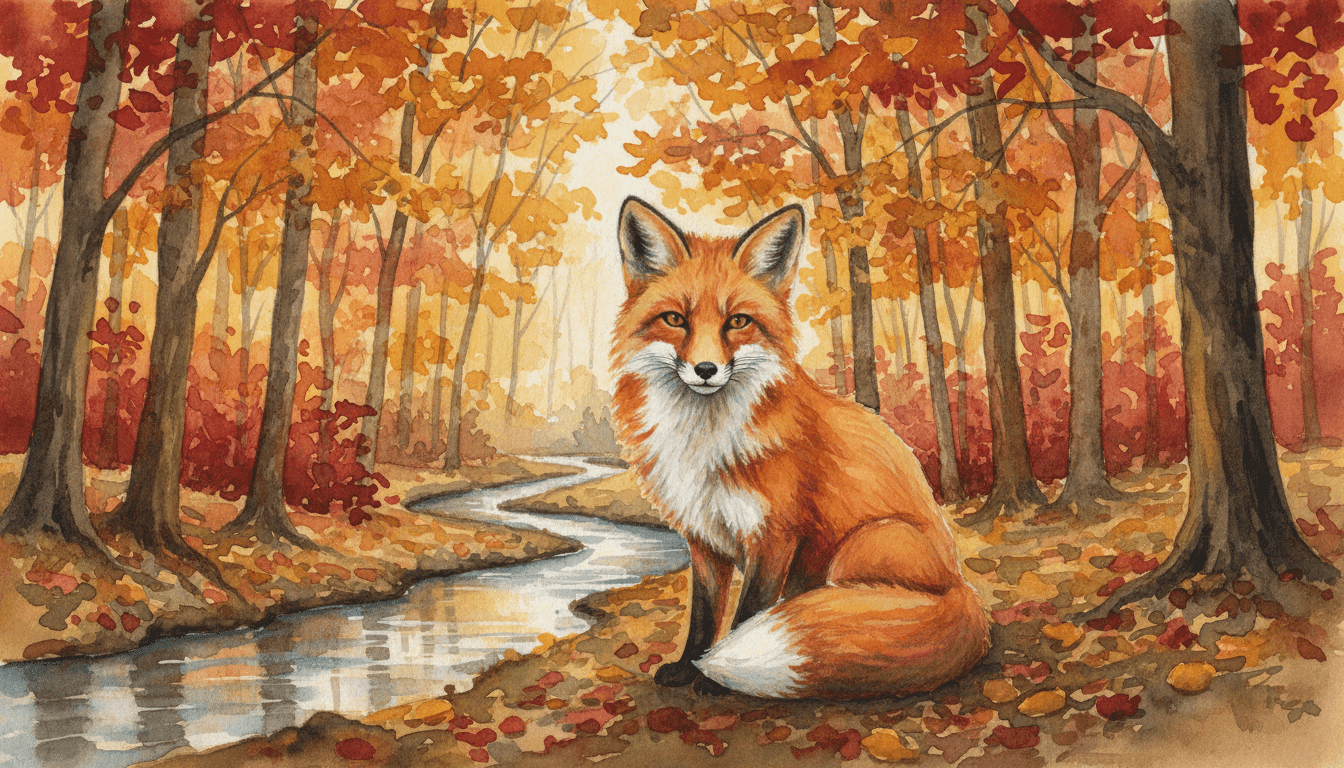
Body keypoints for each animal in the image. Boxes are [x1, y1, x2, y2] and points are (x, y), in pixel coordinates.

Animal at [609, 197, 990, 700]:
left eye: (737, 321)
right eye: (675, 319)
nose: (706, 369)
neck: (704, 440)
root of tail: (964, 590)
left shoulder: (774, 533)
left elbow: (747, 612)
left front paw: (713, 676)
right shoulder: (703, 538)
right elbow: (704, 614)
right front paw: (689, 665)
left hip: (865, 544)